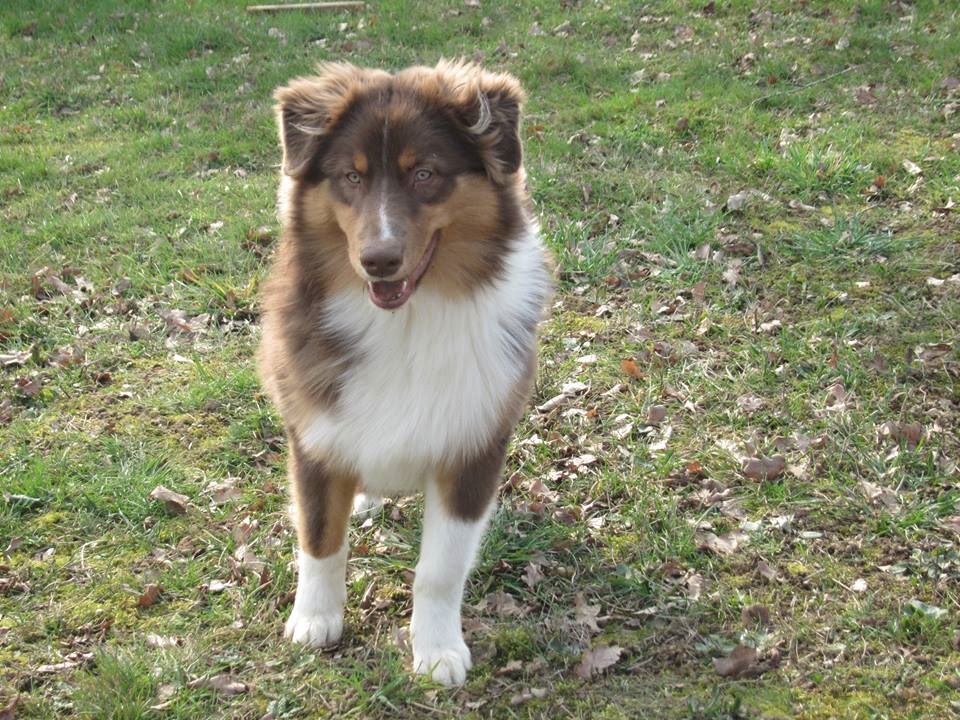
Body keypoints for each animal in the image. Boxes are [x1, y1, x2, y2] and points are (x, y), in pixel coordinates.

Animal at [258, 60, 552, 686]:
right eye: (350, 176)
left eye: (425, 173)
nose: (378, 261)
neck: (405, 323)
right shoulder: (313, 434)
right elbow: (319, 539)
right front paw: (315, 620)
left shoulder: (473, 448)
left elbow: (439, 570)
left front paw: (437, 650)